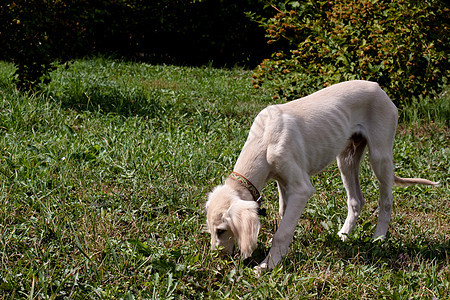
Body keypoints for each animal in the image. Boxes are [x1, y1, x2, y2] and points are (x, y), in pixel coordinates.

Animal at [207, 81, 440, 274]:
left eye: (221, 231)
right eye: (211, 230)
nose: (216, 258)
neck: (264, 138)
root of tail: (379, 88)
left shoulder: (301, 188)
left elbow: (282, 232)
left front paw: (267, 265)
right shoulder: (283, 182)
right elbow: (284, 217)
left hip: (380, 155)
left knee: (386, 201)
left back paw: (378, 238)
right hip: (346, 156)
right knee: (356, 200)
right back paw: (343, 236)